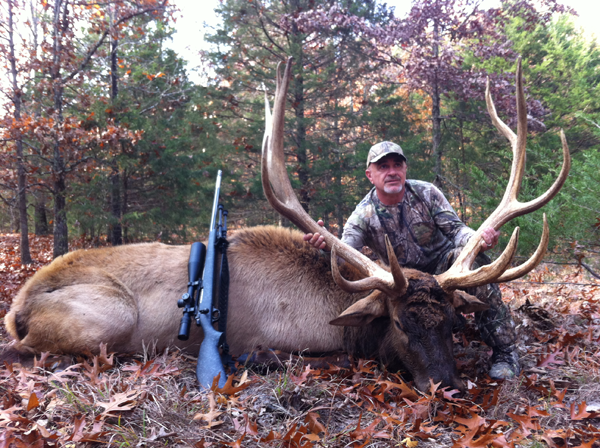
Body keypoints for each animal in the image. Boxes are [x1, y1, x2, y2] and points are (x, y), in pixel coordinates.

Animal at [3, 58, 568, 392]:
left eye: (450, 321)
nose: (448, 386)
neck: (334, 315)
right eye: (403, 323)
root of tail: (18, 306)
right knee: (25, 350)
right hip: (111, 316)